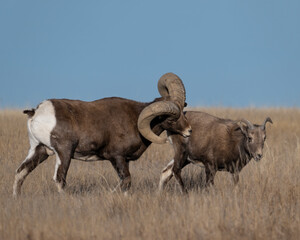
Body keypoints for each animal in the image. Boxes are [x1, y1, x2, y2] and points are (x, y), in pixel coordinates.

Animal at [12, 73, 191, 197]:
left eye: (183, 110)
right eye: (172, 118)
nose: (189, 131)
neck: (134, 119)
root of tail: (36, 112)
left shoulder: (124, 161)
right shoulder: (117, 157)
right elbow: (126, 181)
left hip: (39, 151)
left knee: (20, 172)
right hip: (64, 153)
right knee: (59, 178)